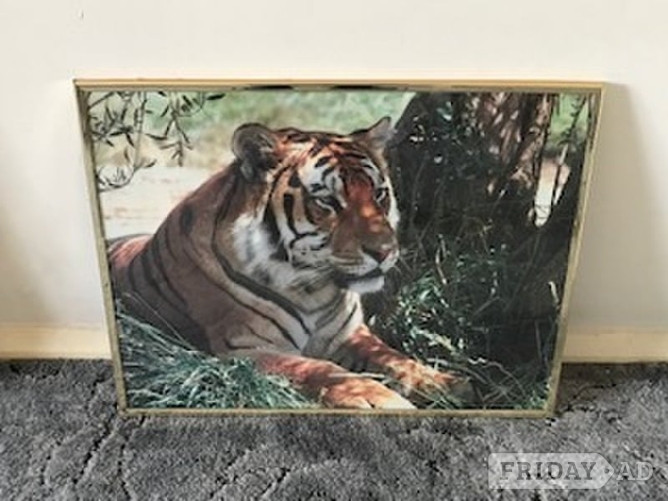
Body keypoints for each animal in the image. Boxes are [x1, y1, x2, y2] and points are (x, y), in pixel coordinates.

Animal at [108, 117, 470, 409]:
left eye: (379, 194)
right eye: (328, 201)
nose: (384, 251)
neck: (315, 288)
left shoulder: (351, 333)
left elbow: (395, 358)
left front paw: (447, 384)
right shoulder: (243, 349)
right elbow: (319, 368)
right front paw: (378, 398)